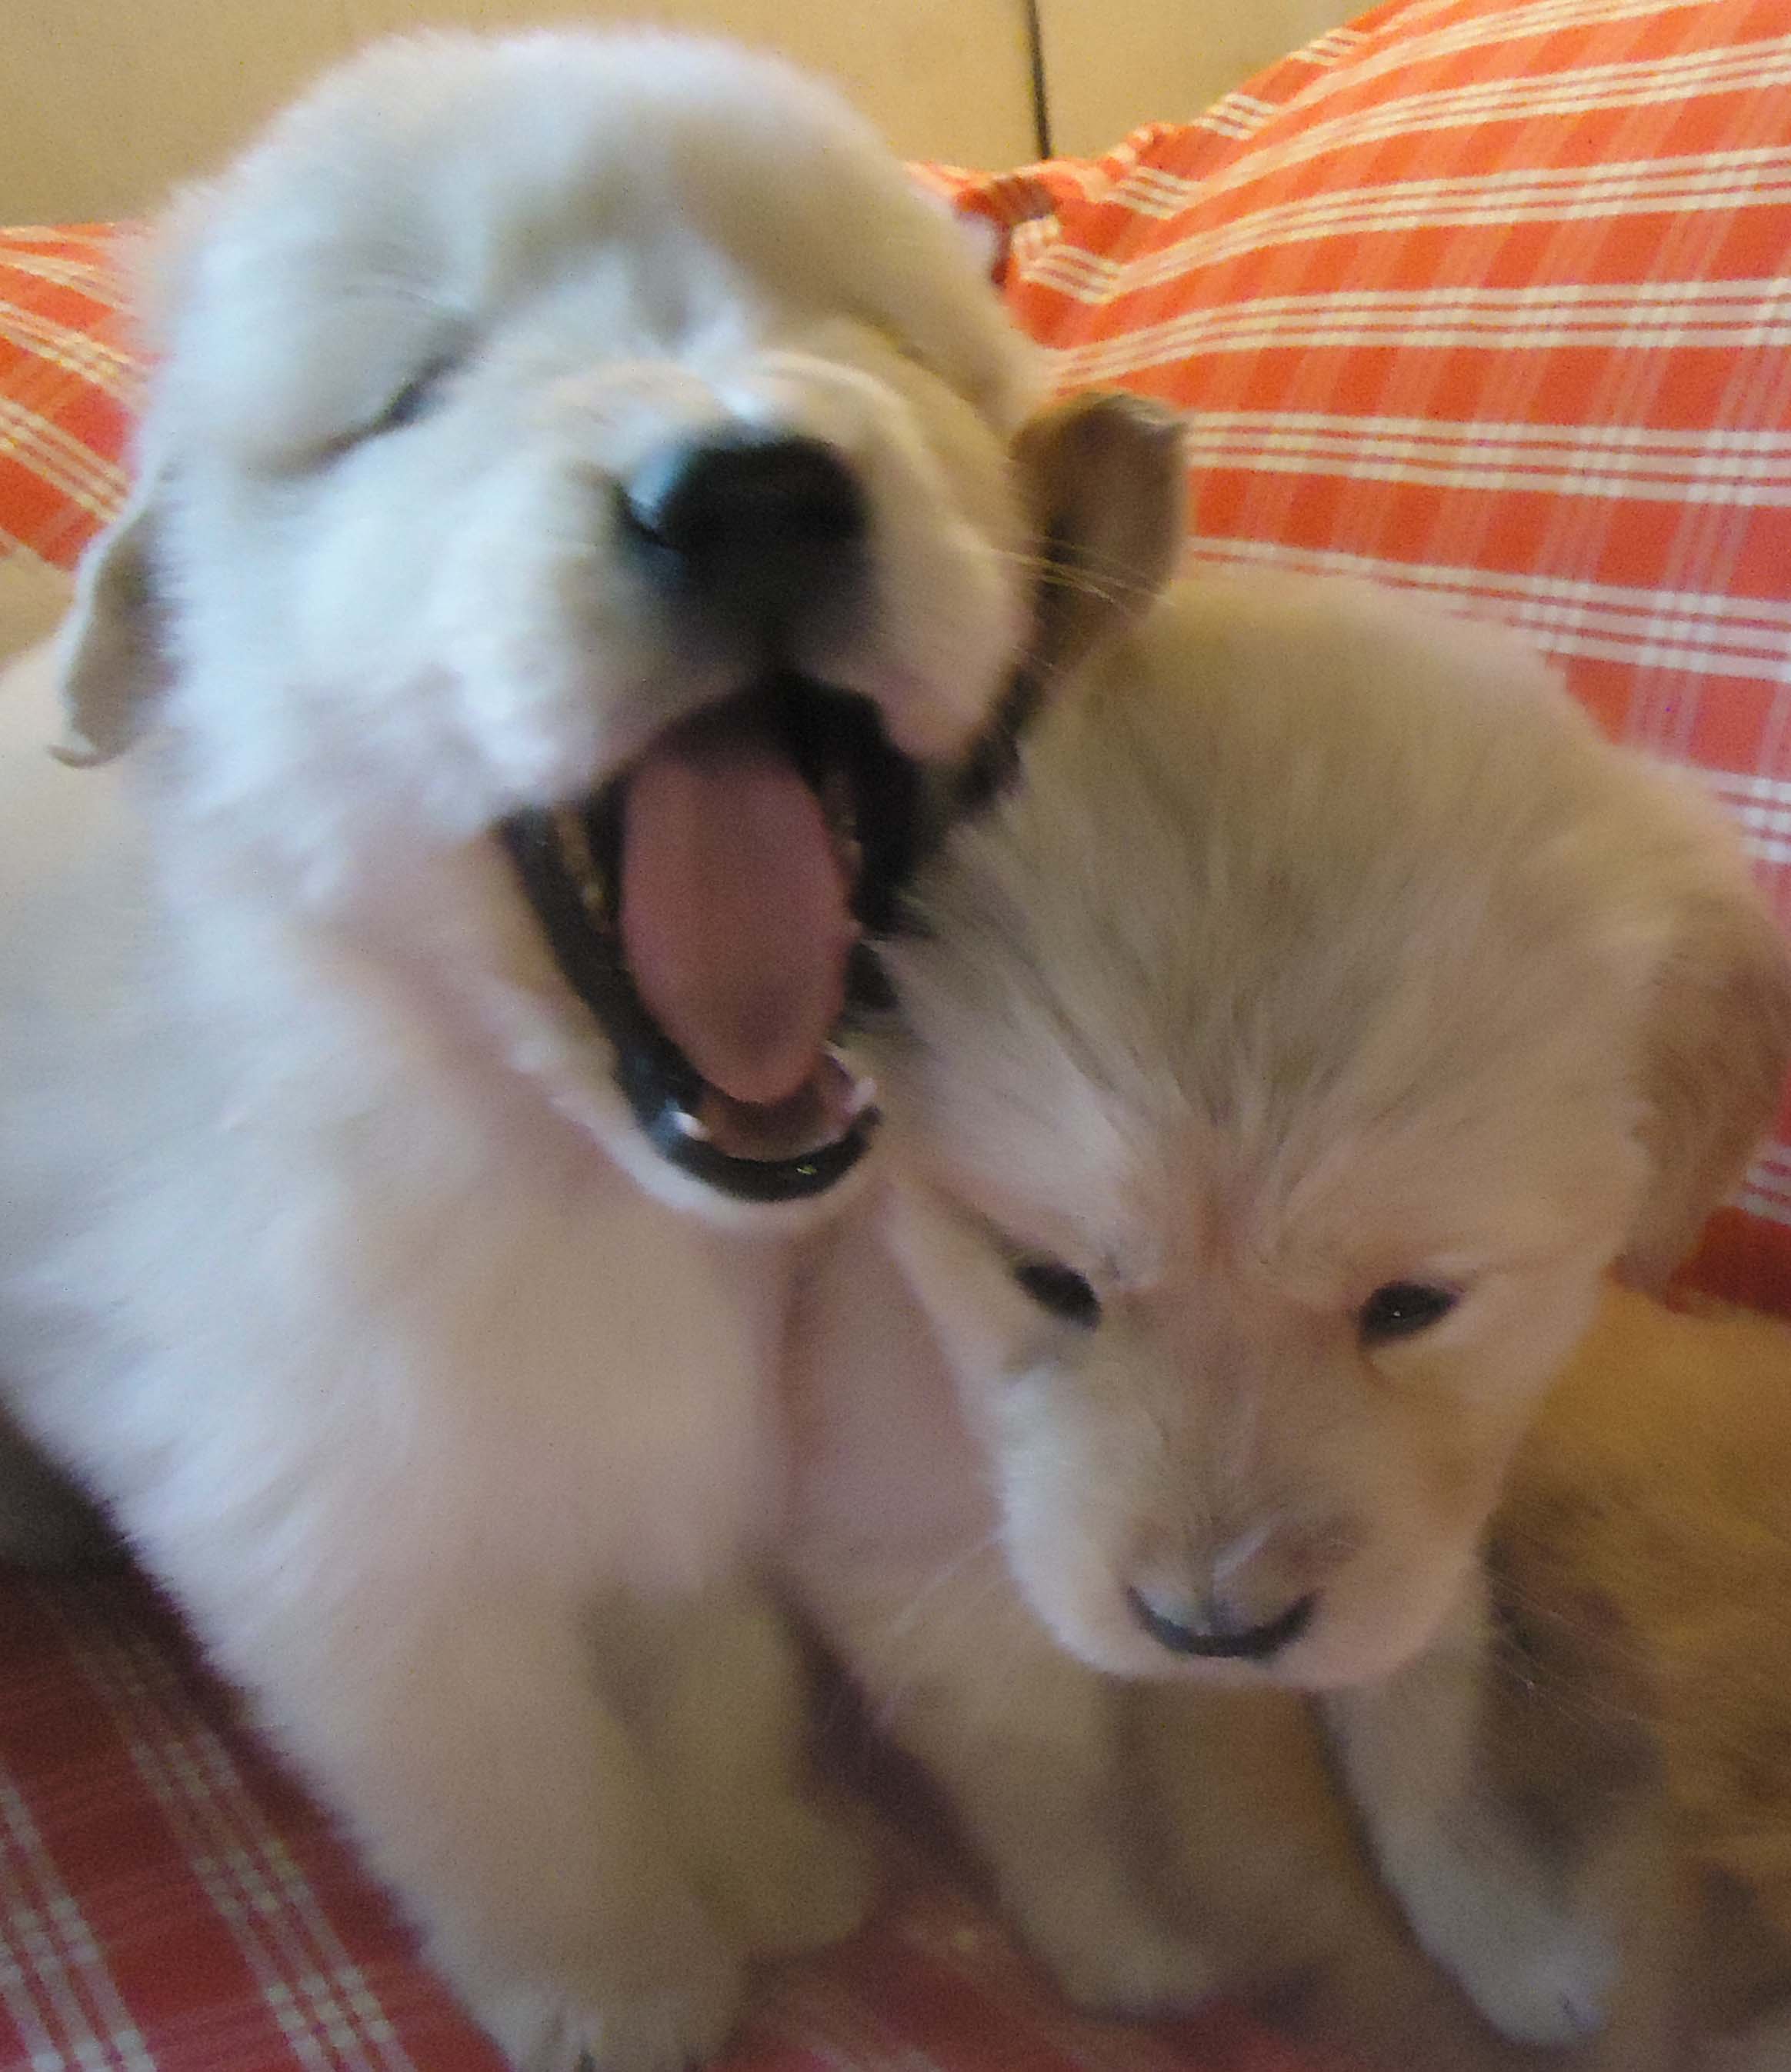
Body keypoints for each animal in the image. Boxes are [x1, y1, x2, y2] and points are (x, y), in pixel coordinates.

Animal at [0, 30, 1182, 2071]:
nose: (751, 489)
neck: (572, 1165)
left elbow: (706, 1689)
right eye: (416, 393)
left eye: (870, 331)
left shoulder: (696, 1483)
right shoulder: (356, 1534)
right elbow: (524, 1787)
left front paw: (768, 1870)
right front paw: (621, 1987)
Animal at [784, 573, 1791, 2059]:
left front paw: (1509, 1931)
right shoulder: (887, 1532)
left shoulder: (1428, 1518)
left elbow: (1418, 1707)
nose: (1216, 1632)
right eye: (1051, 1279)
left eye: (1412, 1304)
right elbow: (1039, 1765)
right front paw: (1117, 1937)